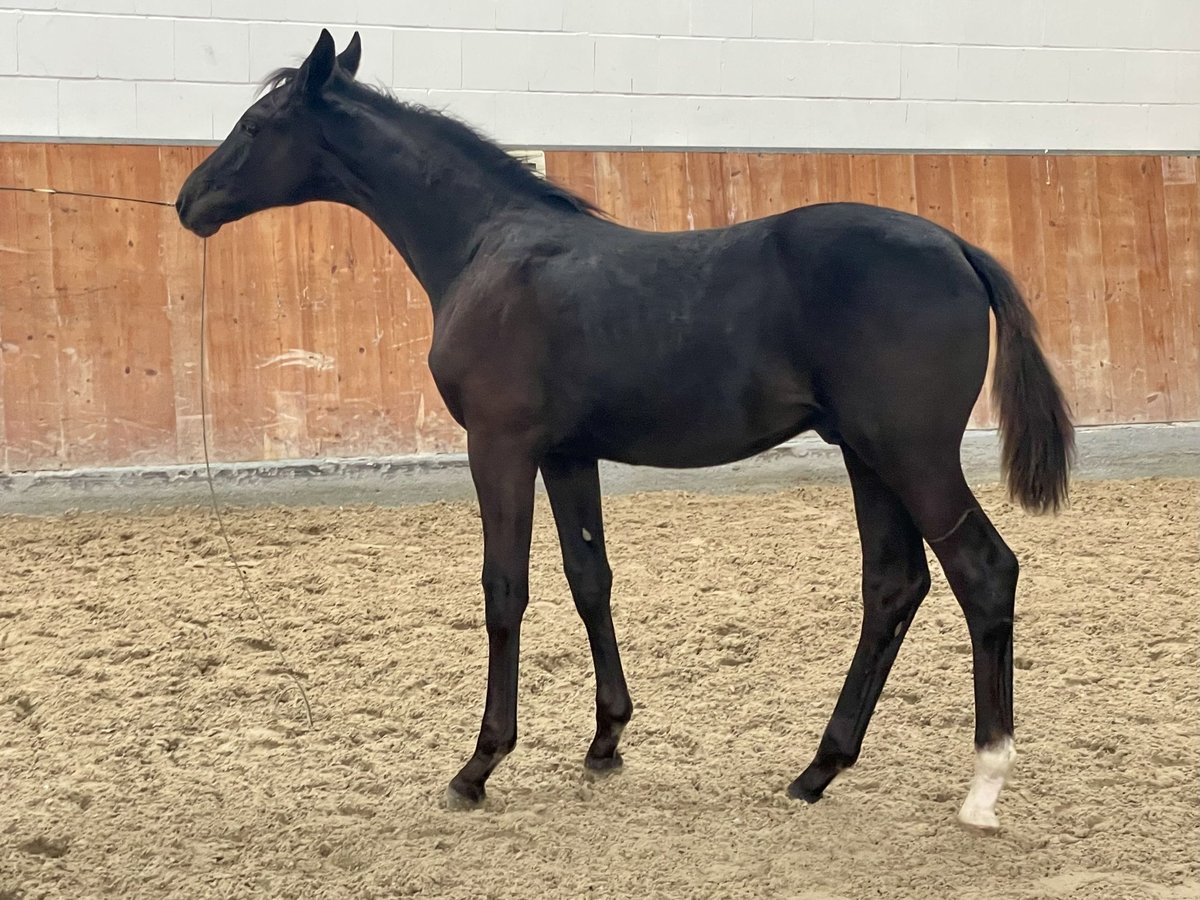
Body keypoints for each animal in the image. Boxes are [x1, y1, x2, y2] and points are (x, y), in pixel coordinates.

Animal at [180, 31, 1080, 835]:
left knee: (983, 572)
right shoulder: (567, 454)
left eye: (255, 124)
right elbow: (590, 579)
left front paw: (479, 765)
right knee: (894, 584)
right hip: (867, 455)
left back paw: (983, 785)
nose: (189, 199)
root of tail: (957, 246)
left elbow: (504, 589)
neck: (489, 247)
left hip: (911, 454)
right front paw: (605, 740)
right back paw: (817, 770)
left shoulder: (500, 447)